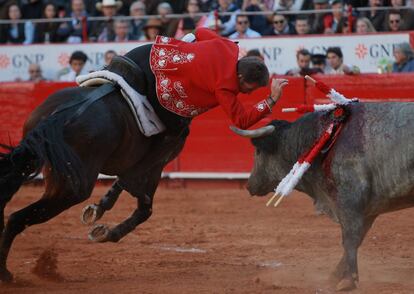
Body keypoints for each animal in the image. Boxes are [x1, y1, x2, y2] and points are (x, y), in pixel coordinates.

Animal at [0, 48, 189, 282]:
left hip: (40, 167)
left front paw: (100, 214)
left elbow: (127, 190)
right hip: (73, 188)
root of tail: (61, 116)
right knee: (17, 218)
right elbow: (144, 206)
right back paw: (5, 273)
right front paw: (105, 229)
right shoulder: (157, 162)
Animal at [233, 102, 414, 290]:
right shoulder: (368, 209)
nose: (249, 185)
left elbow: (350, 238)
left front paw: (349, 280)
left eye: (258, 151)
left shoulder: (350, 201)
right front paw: (334, 276)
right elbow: (357, 239)